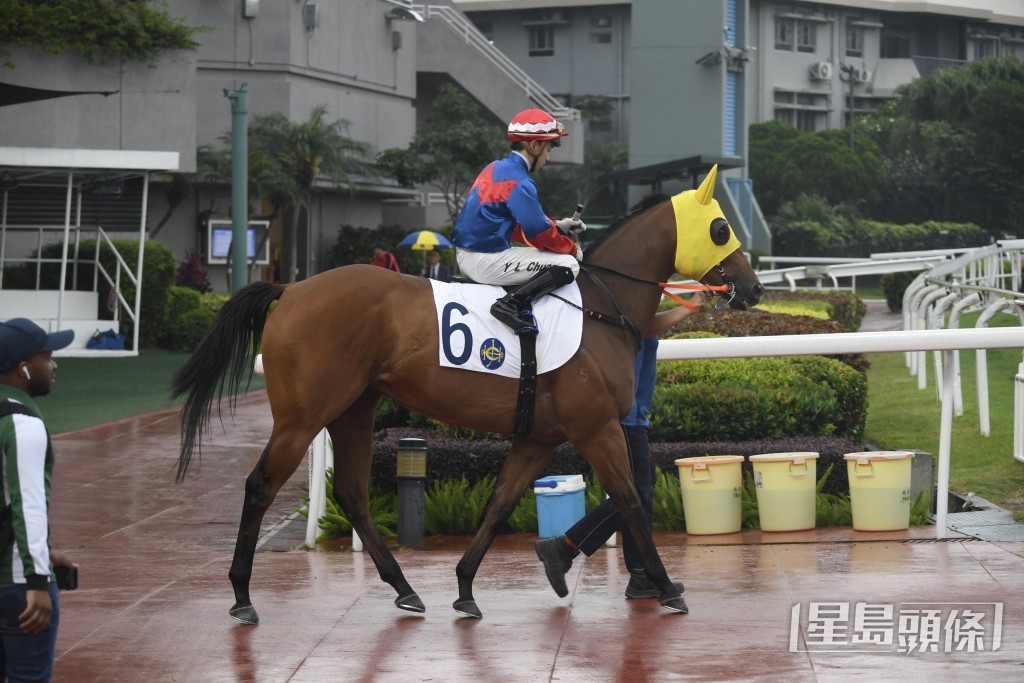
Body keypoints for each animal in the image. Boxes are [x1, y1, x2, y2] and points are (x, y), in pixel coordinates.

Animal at [172, 162, 761, 622]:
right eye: (720, 227)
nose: (753, 288)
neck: (599, 308)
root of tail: (290, 288)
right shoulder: (596, 429)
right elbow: (632, 500)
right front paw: (665, 586)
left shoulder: (539, 437)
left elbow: (499, 505)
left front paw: (464, 587)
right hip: (302, 415)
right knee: (259, 486)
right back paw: (242, 597)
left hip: (355, 408)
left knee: (355, 495)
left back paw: (406, 589)